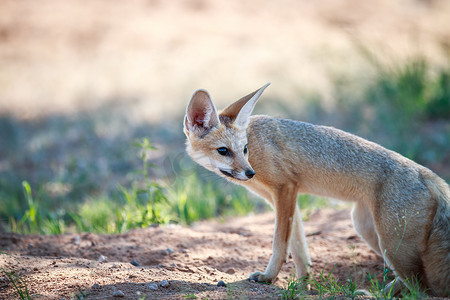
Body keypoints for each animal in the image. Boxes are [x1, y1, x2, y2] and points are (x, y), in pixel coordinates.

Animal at [183, 83, 450, 296]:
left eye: (244, 149)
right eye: (223, 151)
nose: (250, 173)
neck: (257, 142)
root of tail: (430, 175)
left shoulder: (285, 189)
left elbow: (280, 244)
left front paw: (270, 278)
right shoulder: (283, 197)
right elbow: (298, 246)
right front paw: (303, 286)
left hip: (392, 245)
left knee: (422, 290)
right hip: (368, 229)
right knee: (410, 285)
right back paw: (375, 294)